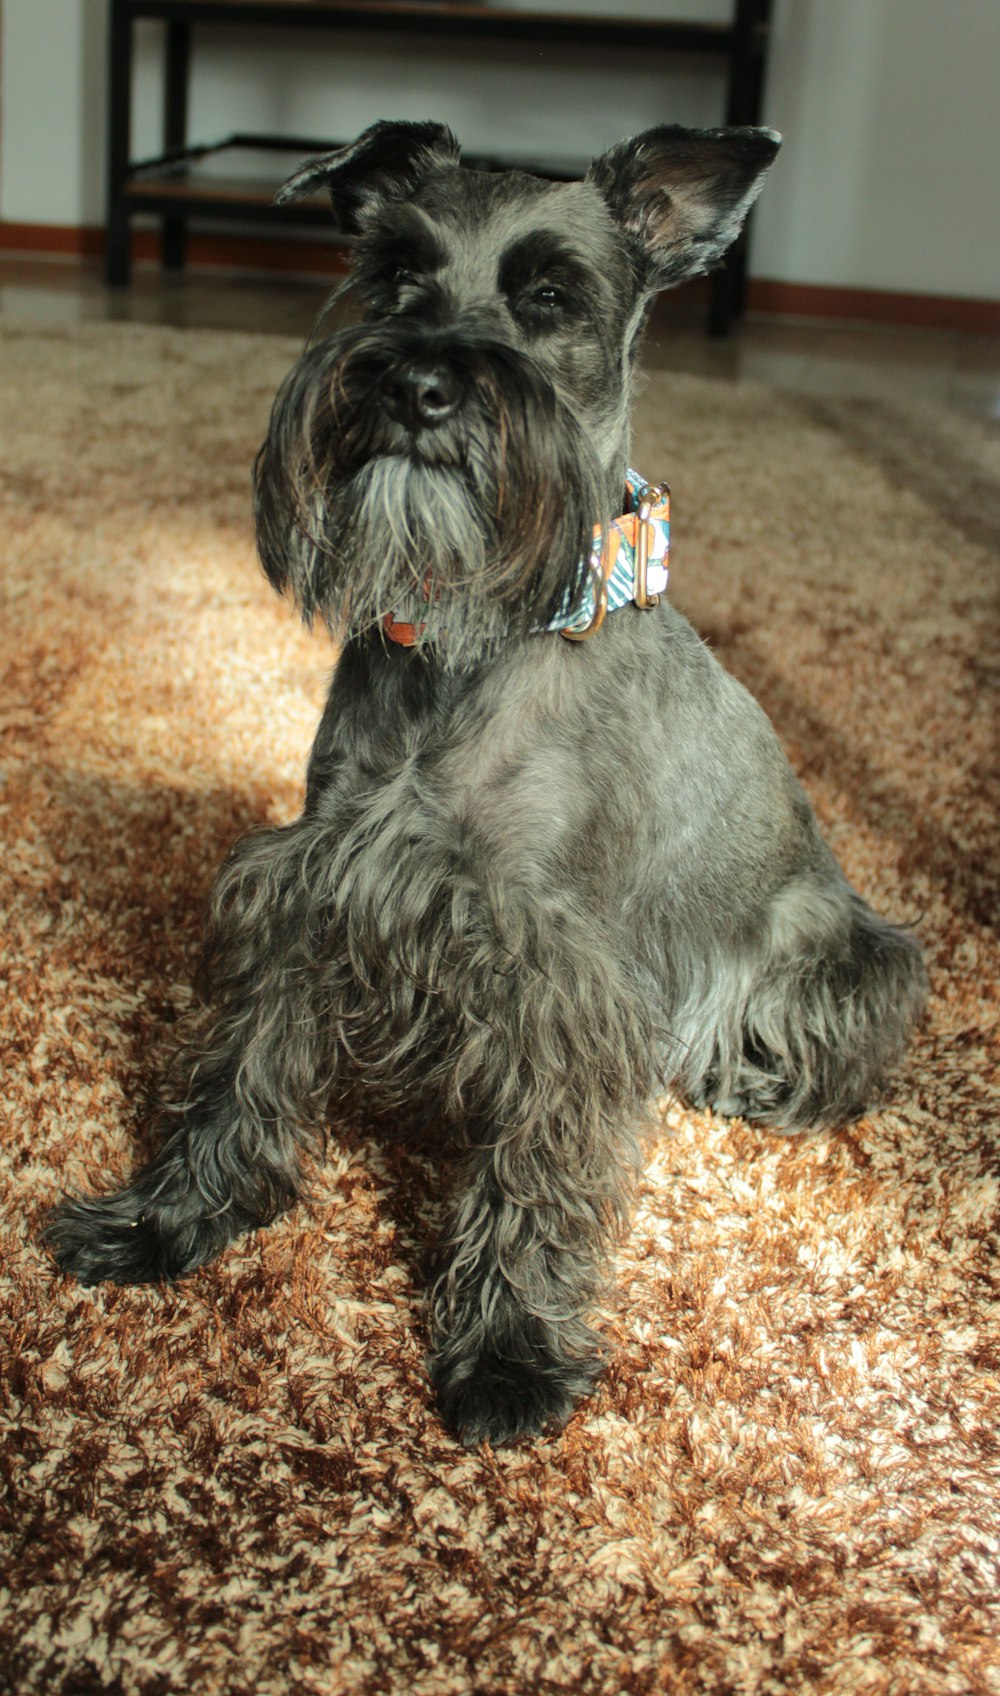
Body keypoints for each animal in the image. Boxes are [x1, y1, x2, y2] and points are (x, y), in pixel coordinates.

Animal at [45, 122, 922, 1444]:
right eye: (396, 271)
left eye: (549, 295)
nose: (414, 383)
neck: (464, 643)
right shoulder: (309, 888)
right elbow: (239, 1074)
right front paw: (167, 1220)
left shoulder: (563, 975)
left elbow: (536, 1173)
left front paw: (507, 1352)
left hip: (856, 954)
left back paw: (748, 1079)